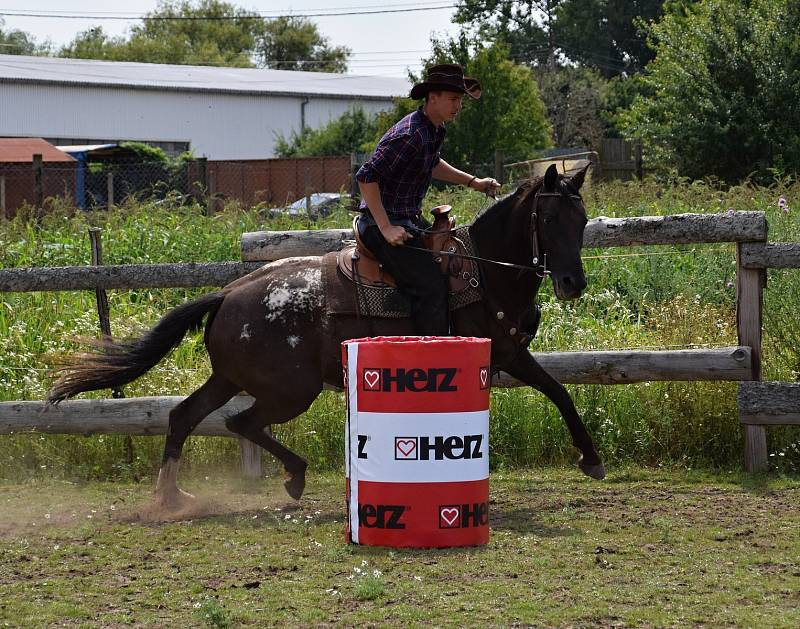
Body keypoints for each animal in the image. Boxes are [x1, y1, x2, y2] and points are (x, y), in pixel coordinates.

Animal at [47, 163, 604, 510]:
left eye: (582, 218)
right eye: (549, 216)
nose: (573, 282)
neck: (484, 270)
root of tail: (226, 295)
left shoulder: (510, 352)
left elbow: (557, 390)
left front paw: (589, 455)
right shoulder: (506, 352)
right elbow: (557, 390)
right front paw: (591, 456)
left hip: (232, 378)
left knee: (185, 416)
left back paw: (171, 498)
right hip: (293, 389)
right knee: (240, 422)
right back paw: (292, 475)